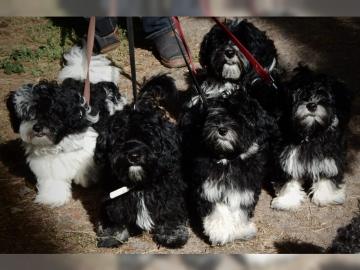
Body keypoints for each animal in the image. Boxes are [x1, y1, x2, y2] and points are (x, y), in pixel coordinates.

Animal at [4, 46, 126, 207]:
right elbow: (52, 178)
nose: (37, 127)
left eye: (50, 112)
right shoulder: (47, 162)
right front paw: (53, 197)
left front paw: (86, 178)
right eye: (27, 114)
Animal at [95, 75, 190, 248]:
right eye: (120, 139)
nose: (134, 155)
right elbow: (114, 213)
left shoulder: (170, 189)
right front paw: (112, 235)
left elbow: (170, 210)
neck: (139, 184)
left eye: (148, 138)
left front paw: (172, 234)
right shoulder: (112, 194)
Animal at [180, 90, 278, 245]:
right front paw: (220, 231)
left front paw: (240, 230)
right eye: (216, 114)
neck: (228, 158)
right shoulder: (208, 185)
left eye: (241, 117)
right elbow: (217, 207)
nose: (222, 129)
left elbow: (240, 207)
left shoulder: (244, 186)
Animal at [270, 66, 352, 210]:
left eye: (324, 94)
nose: (312, 105)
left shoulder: (329, 155)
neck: (312, 131)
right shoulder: (287, 155)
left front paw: (326, 197)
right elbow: (289, 177)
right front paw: (287, 200)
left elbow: (327, 174)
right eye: (299, 94)